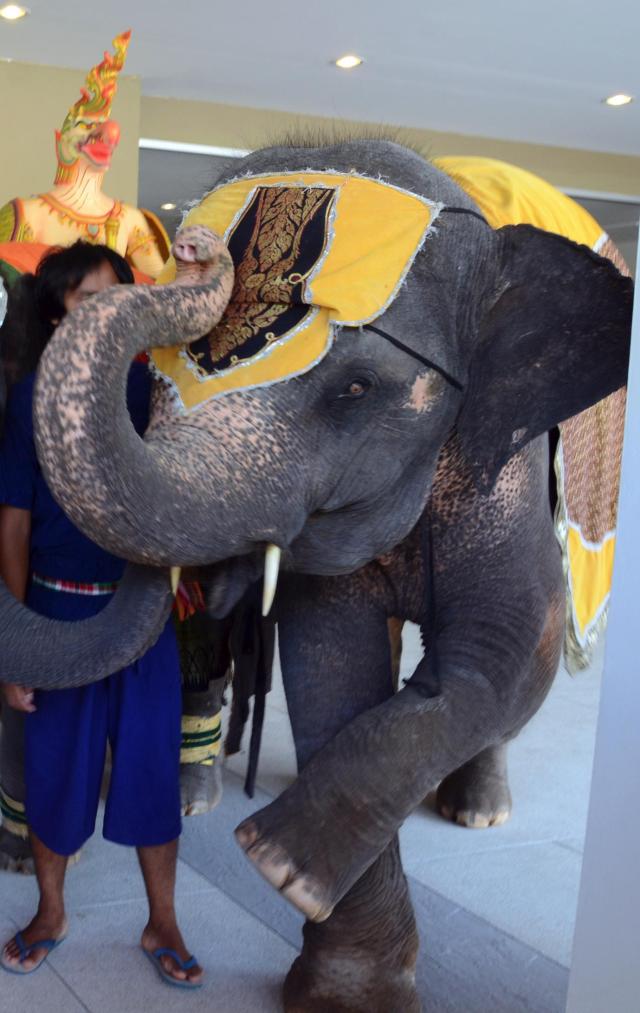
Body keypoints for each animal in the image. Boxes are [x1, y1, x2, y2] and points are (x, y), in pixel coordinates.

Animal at [0, 139, 633, 1011]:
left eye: (356, 388)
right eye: (151, 384)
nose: (193, 248)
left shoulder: (506, 454)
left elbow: (509, 646)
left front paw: (277, 862)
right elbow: (327, 660)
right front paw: (343, 986)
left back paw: (478, 813)